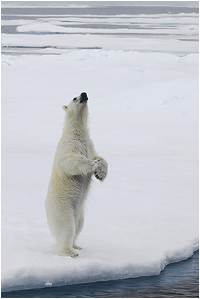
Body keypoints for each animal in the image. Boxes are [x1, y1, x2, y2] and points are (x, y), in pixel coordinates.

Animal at [45, 91, 108, 258]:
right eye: (75, 98)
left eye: (81, 94)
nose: (84, 93)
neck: (77, 133)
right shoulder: (68, 146)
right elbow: (69, 162)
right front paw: (93, 165)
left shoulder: (89, 145)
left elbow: (99, 156)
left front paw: (101, 172)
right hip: (61, 207)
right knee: (67, 227)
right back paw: (68, 252)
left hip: (79, 213)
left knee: (79, 226)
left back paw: (76, 245)